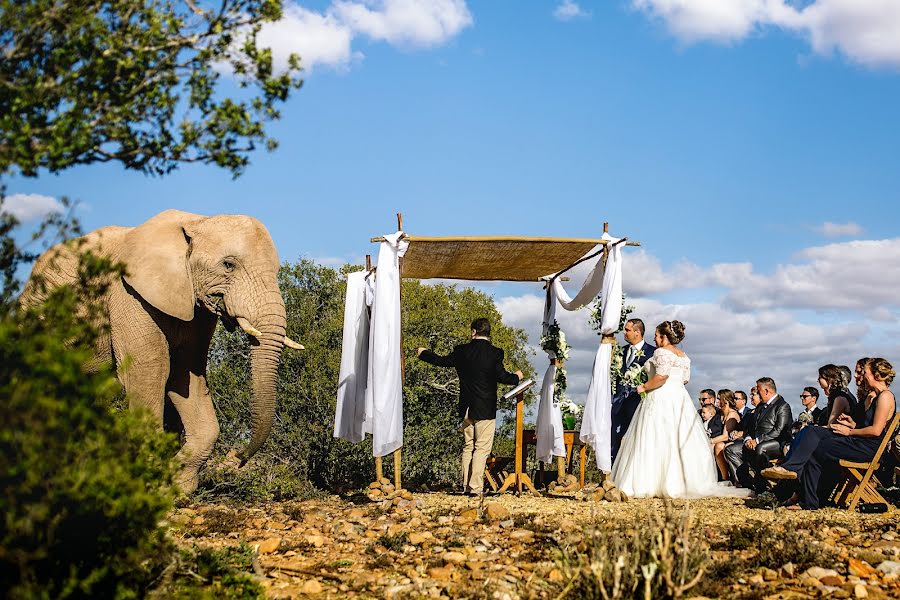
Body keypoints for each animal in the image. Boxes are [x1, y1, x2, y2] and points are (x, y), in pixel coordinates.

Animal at [20, 210, 302, 492]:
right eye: (228, 265)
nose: (237, 456)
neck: (197, 221)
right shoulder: (127, 296)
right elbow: (150, 371)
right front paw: (151, 484)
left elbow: (186, 374)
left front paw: (177, 487)